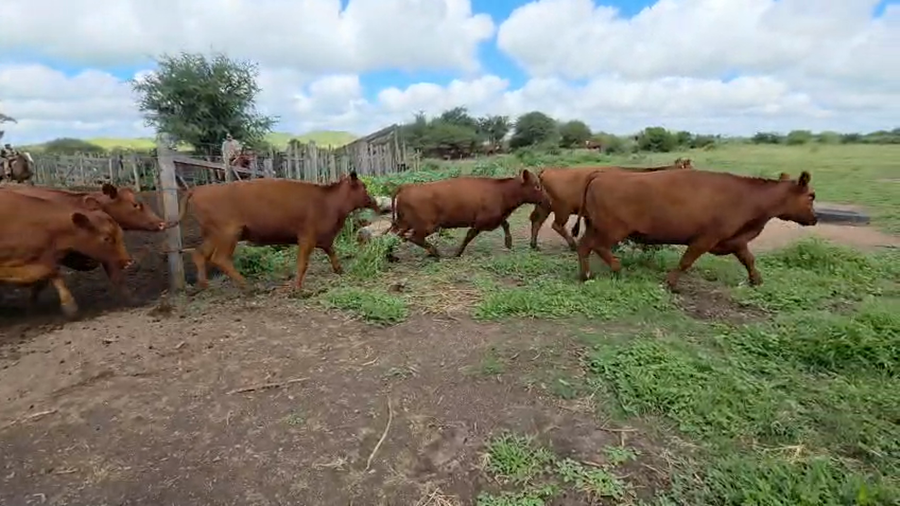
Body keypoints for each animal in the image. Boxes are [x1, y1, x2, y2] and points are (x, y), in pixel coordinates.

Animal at [175, 171, 379, 291]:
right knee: (220, 258)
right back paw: (248, 286)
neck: (329, 203)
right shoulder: (307, 237)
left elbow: (332, 253)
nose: (375, 201)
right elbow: (302, 264)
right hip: (228, 234)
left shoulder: (324, 238)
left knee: (199, 254)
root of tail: (198, 189)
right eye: (364, 187)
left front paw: (340, 270)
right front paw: (297, 289)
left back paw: (204, 284)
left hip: (214, 235)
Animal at [387, 169, 547, 258]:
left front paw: (508, 243)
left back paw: (390, 256)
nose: (547, 199)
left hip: (403, 222)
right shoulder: (481, 222)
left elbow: (506, 224)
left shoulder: (495, 218)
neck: (501, 192)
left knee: (391, 235)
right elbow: (469, 236)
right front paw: (457, 253)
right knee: (413, 238)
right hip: (427, 225)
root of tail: (407, 186)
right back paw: (435, 252)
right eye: (537, 186)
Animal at [529, 158, 693, 251]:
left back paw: (534, 245)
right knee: (556, 225)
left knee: (536, 221)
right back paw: (573, 246)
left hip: (544, 205)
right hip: (562, 209)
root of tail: (547, 170)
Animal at [572, 169, 817, 290]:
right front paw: (670, 284)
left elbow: (749, 259)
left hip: (595, 227)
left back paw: (586, 276)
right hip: (611, 230)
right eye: (811, 196)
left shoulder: (736, 240)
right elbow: (686, 261)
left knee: (584, 247)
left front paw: (756, 281)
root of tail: (601, 175)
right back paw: (617, 268)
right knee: (598, 247)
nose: (815, 219)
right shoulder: (705, 239)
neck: (748, 197)